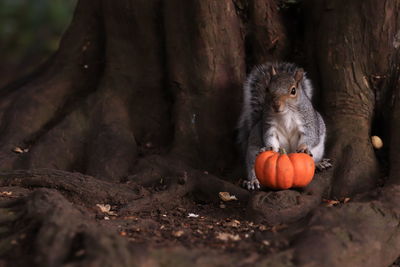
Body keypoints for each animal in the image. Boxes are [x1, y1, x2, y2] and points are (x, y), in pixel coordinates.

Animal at [238, 61, 332, 191]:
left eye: (293, 91)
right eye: (267, 89)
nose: (276, 105)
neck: (285, 113)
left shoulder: (307, 121)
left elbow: (310, 135)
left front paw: (303, 147)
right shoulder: (269, 125)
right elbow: (269, 137)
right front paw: (270, 148)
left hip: (317, 150)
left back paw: (318, 164)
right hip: (253, 152)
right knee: (252, 166)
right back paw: (253, 181)